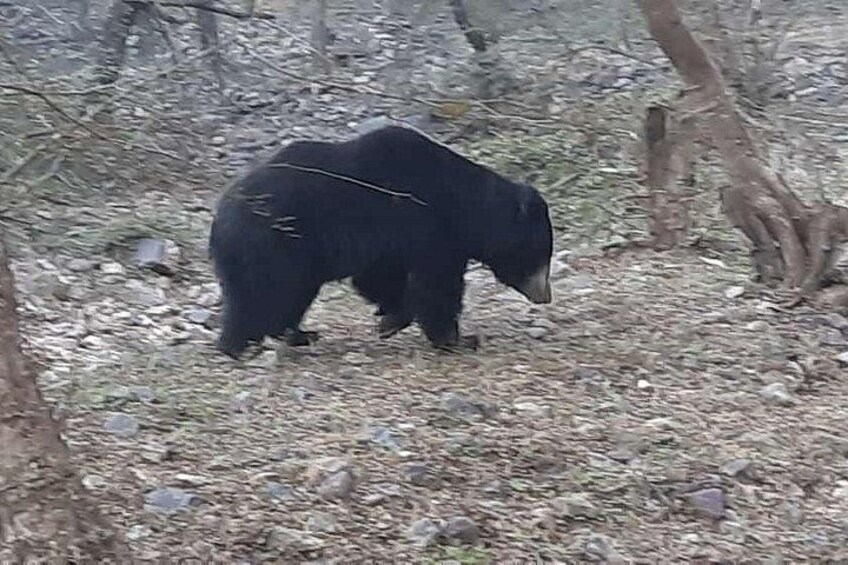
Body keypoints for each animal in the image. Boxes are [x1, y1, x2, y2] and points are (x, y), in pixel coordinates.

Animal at [208, 124, 553, 359]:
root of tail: (220, 218)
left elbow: (380, 278)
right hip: (273, 247)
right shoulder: (419, 221)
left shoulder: (392, 240)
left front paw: (390, 319)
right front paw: (457, 339)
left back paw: (295, 334)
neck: (461, 204)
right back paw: (243, 344)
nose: (546, 296)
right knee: (265, 295)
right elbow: (435, 283)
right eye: (542, 255)